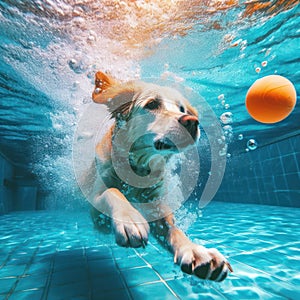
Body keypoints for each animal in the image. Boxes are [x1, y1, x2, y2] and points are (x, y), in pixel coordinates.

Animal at [85, 71, 233, 282]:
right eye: (152, 104)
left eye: (181, 108)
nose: (192, 121)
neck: (139, 166)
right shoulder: (97, 213)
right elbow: (113, 192)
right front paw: (130, 218)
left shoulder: (156, 205)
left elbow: (174, 229)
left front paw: (194, 249)